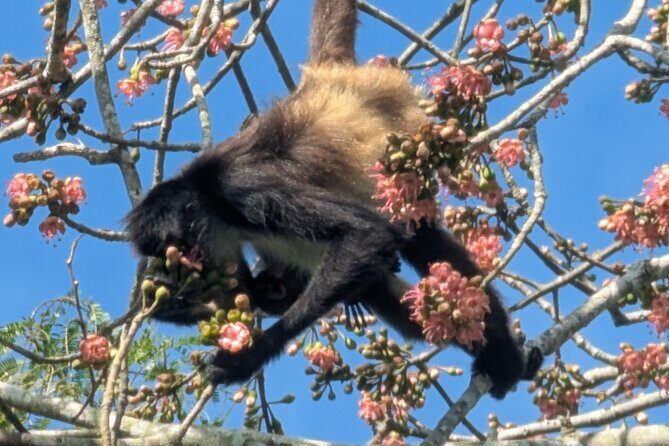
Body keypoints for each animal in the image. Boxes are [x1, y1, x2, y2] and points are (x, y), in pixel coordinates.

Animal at [126, 0, 543, 399]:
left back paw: (503, 355)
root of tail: (329, 78)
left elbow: (364, 235)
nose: (184, 275)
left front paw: (251, 356)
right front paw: (171, 301)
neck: (204, 192)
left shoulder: (240, 191)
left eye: (181, 250)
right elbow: (259, 293)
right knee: (381, 286)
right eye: (171, 258)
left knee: (419, 238)